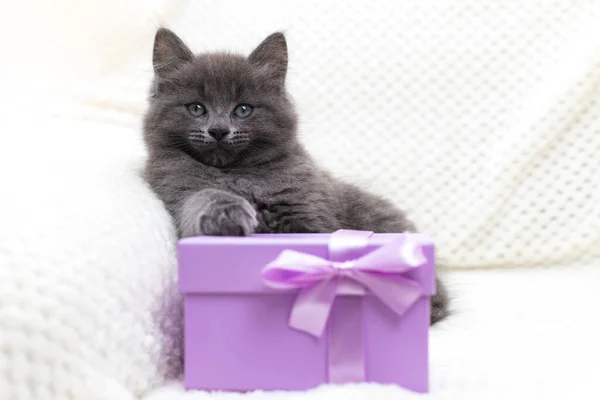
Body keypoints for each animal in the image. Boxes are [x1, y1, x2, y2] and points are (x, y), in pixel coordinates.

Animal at [143, 28, 448, 324]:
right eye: (196, 108)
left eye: (243, 109)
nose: (218, 130)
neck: (235, 174)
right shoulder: (175, 189)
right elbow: (201, 198)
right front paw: (227, 214)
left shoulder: (308, 211)